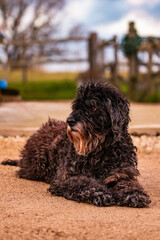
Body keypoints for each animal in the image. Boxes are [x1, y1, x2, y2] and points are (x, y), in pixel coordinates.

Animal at [1, 81, 151, 207]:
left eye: (93, 107)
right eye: (77, 107)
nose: (70, 121)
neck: (100, 150)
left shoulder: (121, 173)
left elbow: (127, 183)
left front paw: (134, 193)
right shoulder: (66, 177)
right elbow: (84, 182)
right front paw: (99, 193)